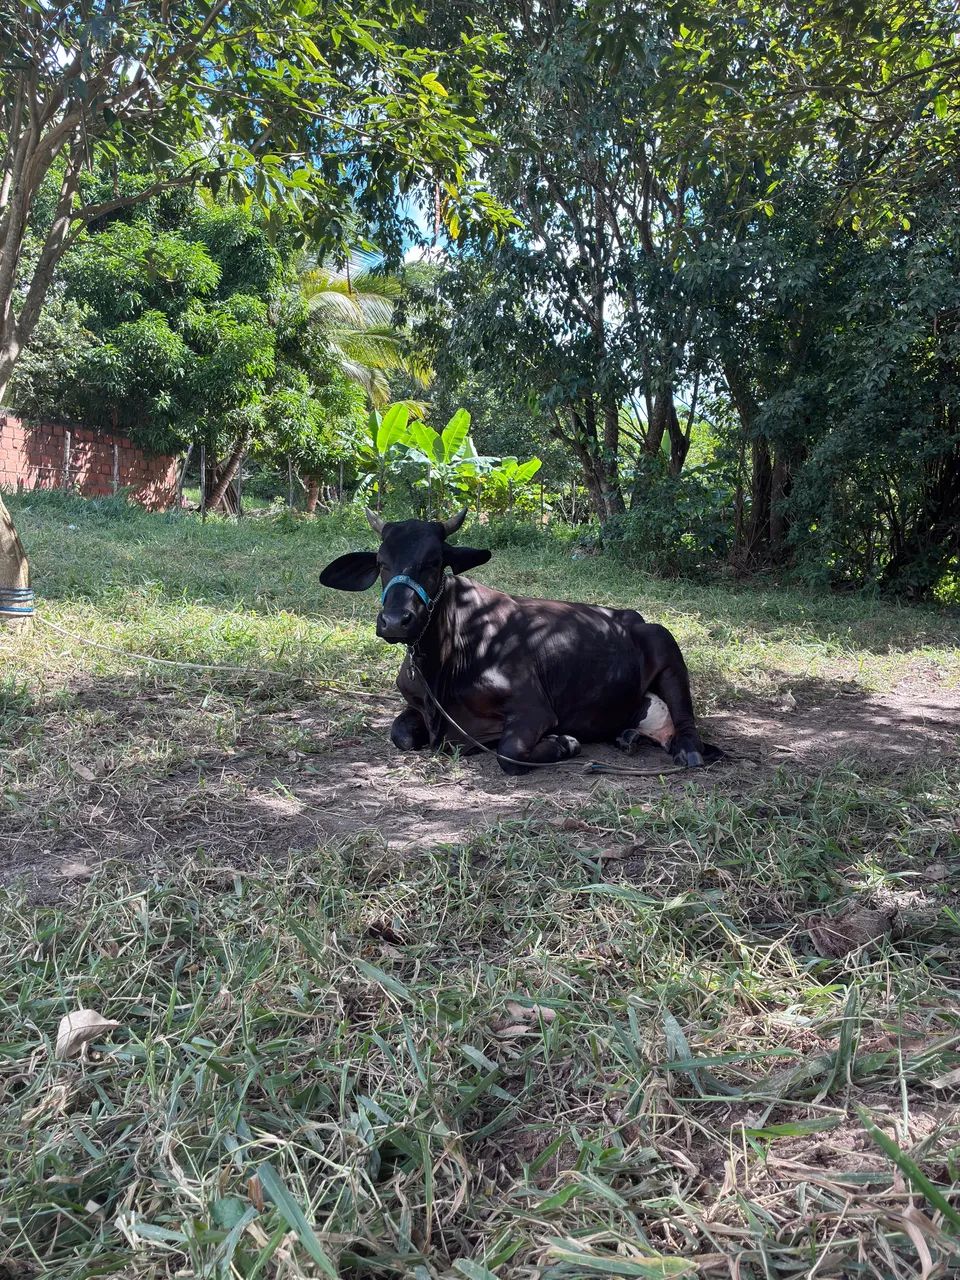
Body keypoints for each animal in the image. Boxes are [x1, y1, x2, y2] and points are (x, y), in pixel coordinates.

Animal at [319, 508, 715, 775]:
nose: (395, 622)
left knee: (685, 718)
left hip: (665, 642)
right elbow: (399, 733)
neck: (442, 663)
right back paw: (627, 737)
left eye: (434, 561)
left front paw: (564, 743)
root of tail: (634, 617)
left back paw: (687, 751)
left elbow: (508, 752)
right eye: (381, 562)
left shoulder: (533, 709)